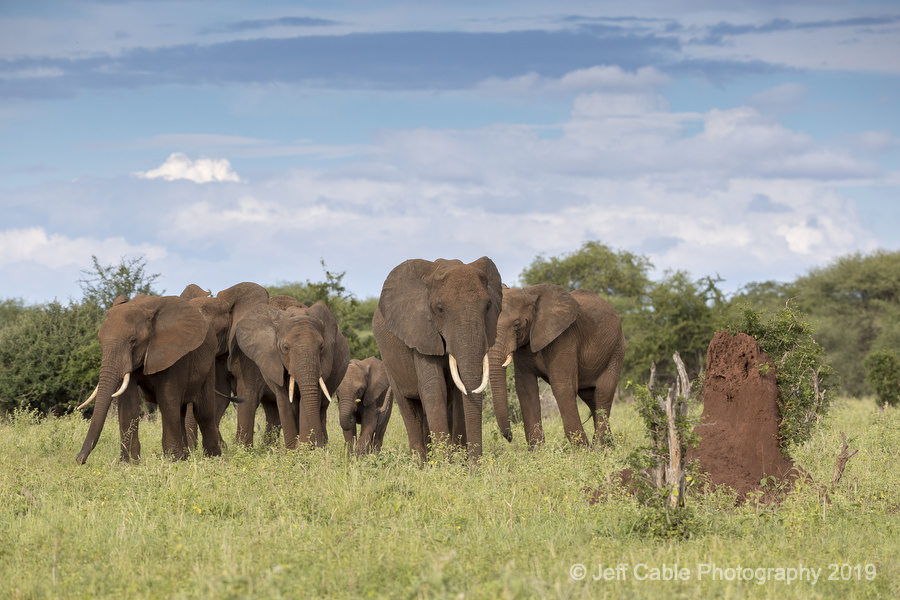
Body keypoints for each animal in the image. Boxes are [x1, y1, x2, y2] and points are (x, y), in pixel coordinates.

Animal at [75, 294, 222, 464]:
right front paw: (128, 464)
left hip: (210, 364)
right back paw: (186, 458)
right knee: (181, 411)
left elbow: (167, 399)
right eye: (100, 341)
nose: (80, 460)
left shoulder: (175, 353)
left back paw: (213, 459)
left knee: (203, 413)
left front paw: (172, 462)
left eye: (133, 340)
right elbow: (129, 402)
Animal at [229, 300, 350, 449]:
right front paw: (294, 450)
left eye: (322, 347)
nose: (317, 443)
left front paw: (303, 449)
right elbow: (285, 401)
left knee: (321, 407)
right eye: (285, 348)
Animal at [372, 257, 502, 462]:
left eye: (489, 306)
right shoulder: (421, 332)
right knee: (409, 409)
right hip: (388, 362)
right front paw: (446, 464)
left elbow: (459, 394)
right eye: (440, 309)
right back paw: (420, 464)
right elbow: (434, 389)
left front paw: (458, 462)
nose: (476, 466)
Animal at [487, 284, 625, 448]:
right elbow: (526, 388)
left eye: (517, 324)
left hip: (616, 349)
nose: (510, 437)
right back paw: (609, 446)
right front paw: (537, 451)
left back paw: (599, 448)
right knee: (591, 397)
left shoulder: (565, 338)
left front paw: (582, 451)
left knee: (603, 392)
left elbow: (562, 386)